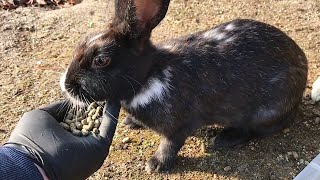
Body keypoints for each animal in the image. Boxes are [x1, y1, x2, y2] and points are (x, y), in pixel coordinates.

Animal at [59, 0, 308, 172]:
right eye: (81, 42)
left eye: (101, 60)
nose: (67, 85)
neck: (147, 77)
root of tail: (302, 66)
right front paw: (131, 122)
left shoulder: (178, 126)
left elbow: (169, 145)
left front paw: (155, 165)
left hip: (265, 111)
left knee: (253, 130)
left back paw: (223, 139)